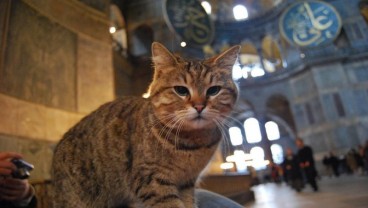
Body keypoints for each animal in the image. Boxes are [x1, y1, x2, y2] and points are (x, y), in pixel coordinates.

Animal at [51, 42, 240, 208]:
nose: (199, 106)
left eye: (214, 90)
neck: (193, 143)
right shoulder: (153, 180)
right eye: (181, 90)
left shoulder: (186, 183)